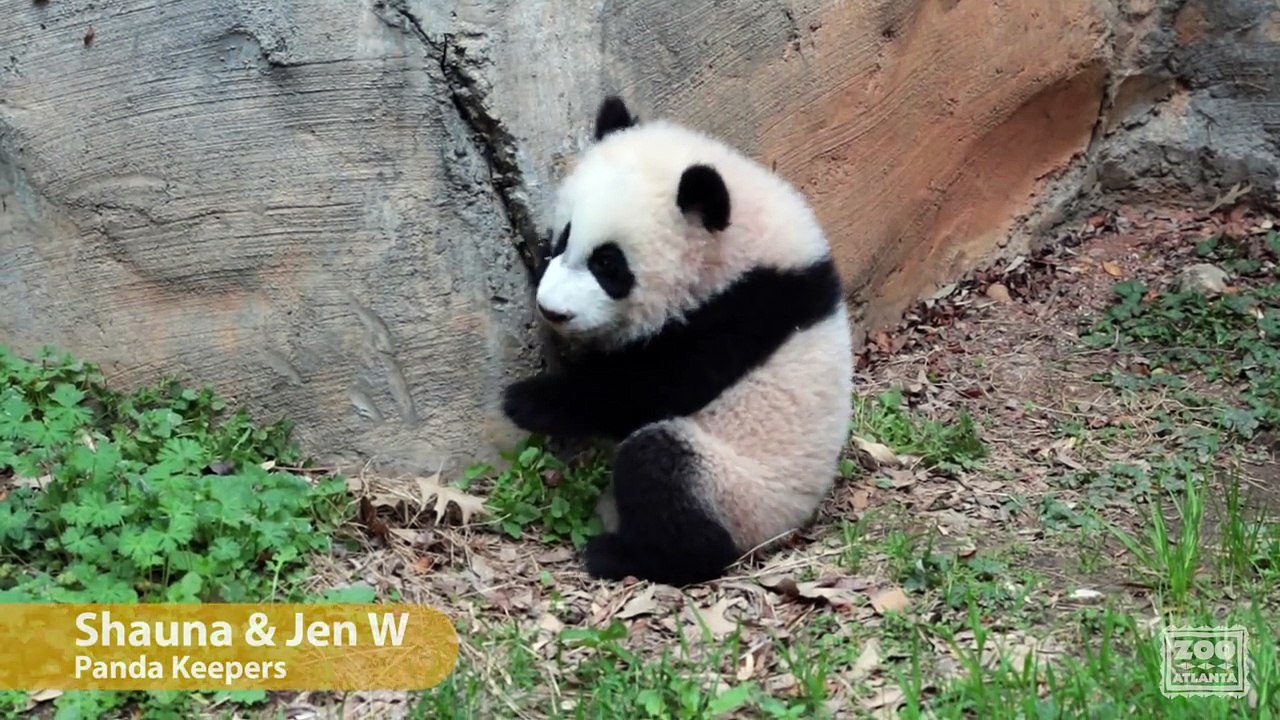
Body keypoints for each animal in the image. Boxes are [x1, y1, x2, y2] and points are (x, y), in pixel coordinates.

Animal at [502, 95, 854, 587]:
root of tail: (787, 526)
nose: (553, 310)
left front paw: (526, 400)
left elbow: (650, 388)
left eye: (608, 264)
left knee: (659, 467)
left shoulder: (743, 312)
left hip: (738, 489)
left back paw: (624, 555)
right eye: (563, 239)